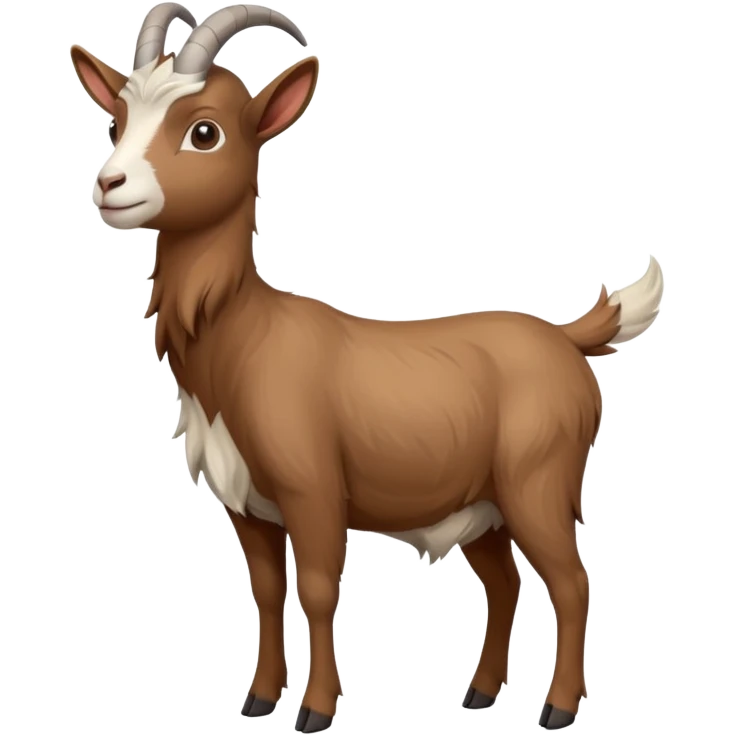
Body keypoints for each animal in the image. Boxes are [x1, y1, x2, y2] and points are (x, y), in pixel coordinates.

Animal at [70, 3, 666, 732]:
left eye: (204, 131)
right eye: (116, 123)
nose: (109, 185)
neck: (246, 339)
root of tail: (566, 337)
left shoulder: (314, 491)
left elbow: (318, 589)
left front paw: (316, 710)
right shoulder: (249, 506)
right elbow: (266, 591)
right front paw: (259, 698)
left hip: (539, 483)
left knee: (571, 581)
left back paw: (555, 707)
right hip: (485, 503)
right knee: (504, 582)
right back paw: (478, 692)